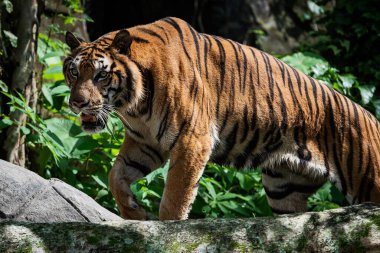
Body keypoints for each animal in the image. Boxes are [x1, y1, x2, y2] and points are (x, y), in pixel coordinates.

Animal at [63, 16, 380, 220]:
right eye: (74, 72)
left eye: (101, 75)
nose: (77, 103)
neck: (133, 106)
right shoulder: (145, 144)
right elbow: (115, 176)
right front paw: (135, 213)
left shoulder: (192, 140)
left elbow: (175, 197)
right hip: (283, 188)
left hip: (368, 179)